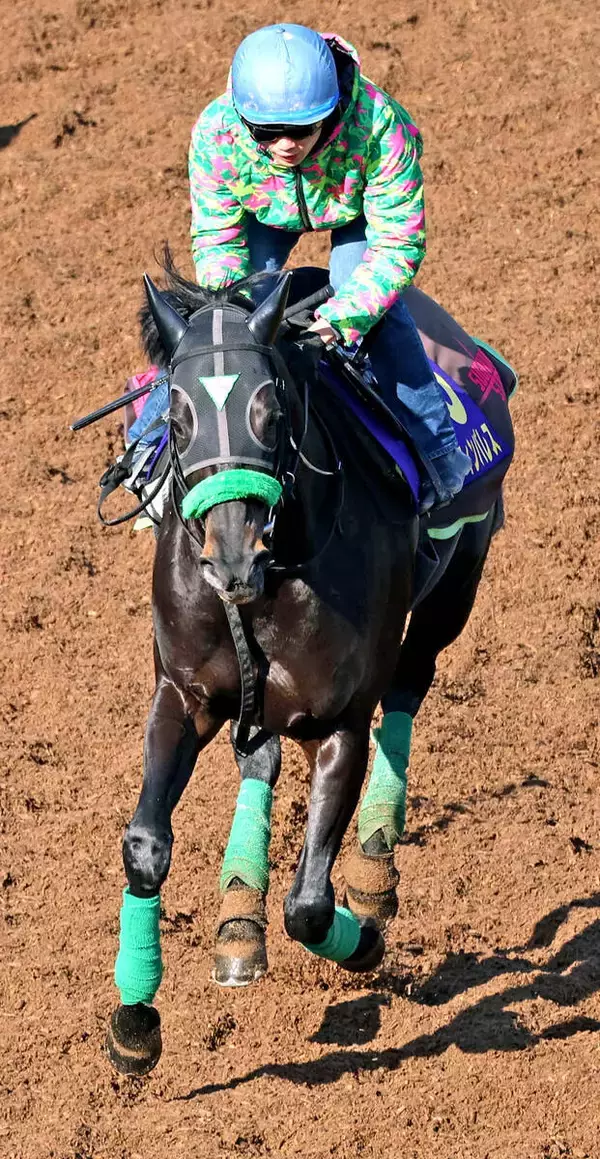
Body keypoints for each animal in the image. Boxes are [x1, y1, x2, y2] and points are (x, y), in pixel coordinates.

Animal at [105, 257, 510, 1076]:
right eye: (178, 416)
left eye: (272, 408)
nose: (229, 557)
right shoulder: (183, 694)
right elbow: (146, 845)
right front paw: (134, 1022)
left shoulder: (341, 722)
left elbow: (311, 906)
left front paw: (367, 938)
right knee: (259, 757)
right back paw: (238, 914)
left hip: (457, 584)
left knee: (410, 688)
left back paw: (375, 866)